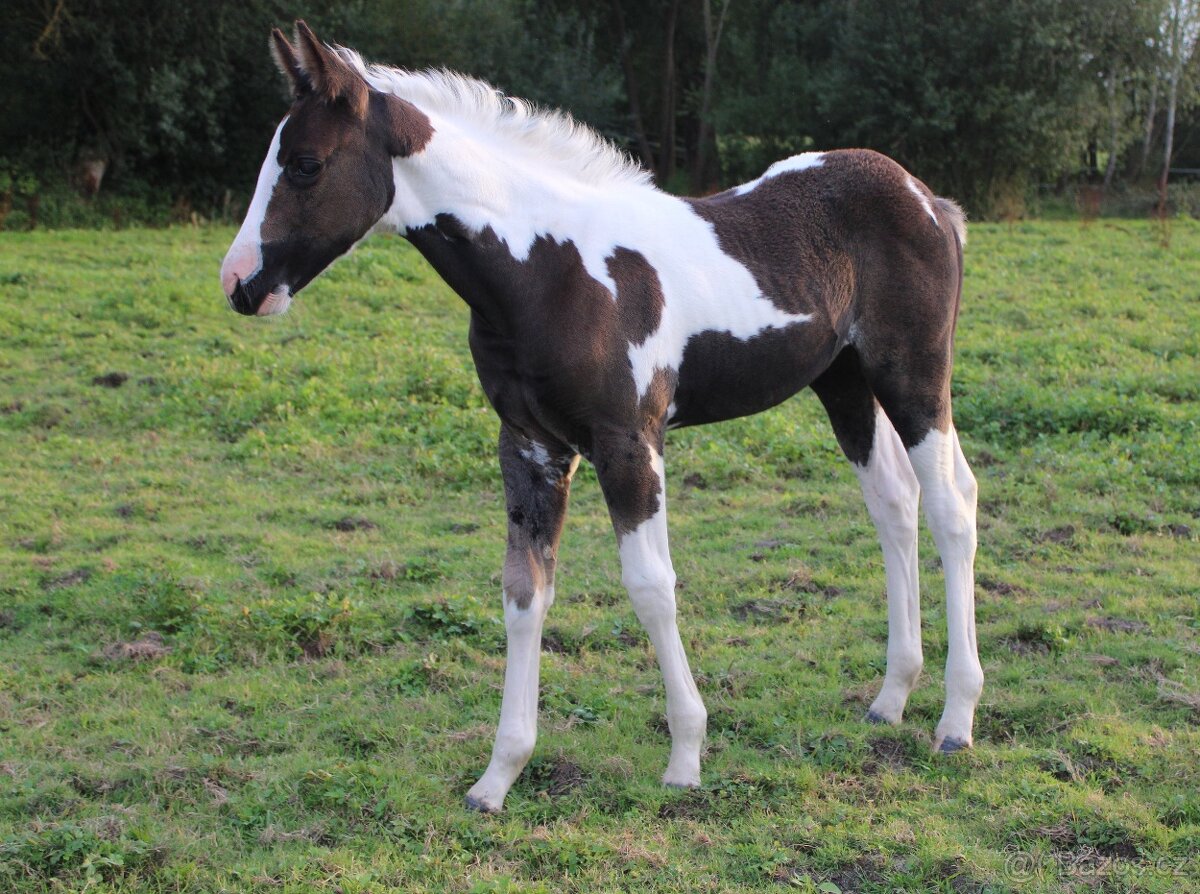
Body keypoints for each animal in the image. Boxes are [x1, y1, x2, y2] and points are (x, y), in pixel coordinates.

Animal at [220, 21, 983, 814]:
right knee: (894, 502)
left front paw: (685, 757)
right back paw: (891, 699)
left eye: (306, 166)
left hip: (914, 376)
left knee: (952, 505)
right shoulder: (530, 447)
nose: (238, 283)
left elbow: (651, 587)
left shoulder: (628, 445)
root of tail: (928, 197)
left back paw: (956, 719)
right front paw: (497, 778)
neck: (549, 270)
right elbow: (524, 592)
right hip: (843, 382)